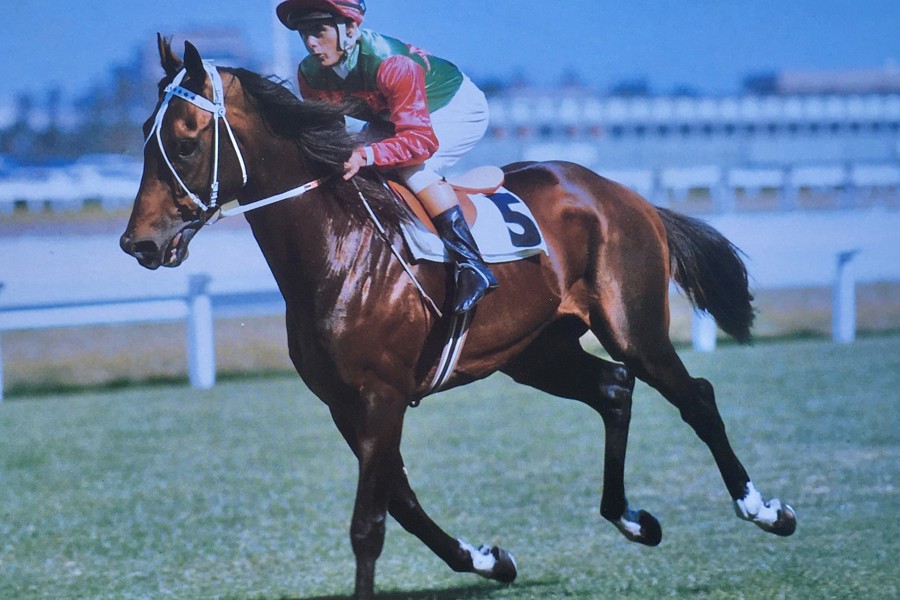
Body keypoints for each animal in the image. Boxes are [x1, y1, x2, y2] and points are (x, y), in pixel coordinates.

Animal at [120, 37, 796, 599]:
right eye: (145, 136)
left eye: (184, 140)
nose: (138, 244)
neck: (337, 248)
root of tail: (624, 193)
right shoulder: (345, 403)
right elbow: (402, 504)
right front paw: (490, 559)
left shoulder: (381, 395)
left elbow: (369, 524)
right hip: (536, 351)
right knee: (613, 388)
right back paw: (632, 520)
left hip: (632, 326)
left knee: (694, 396)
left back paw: (765, 509)